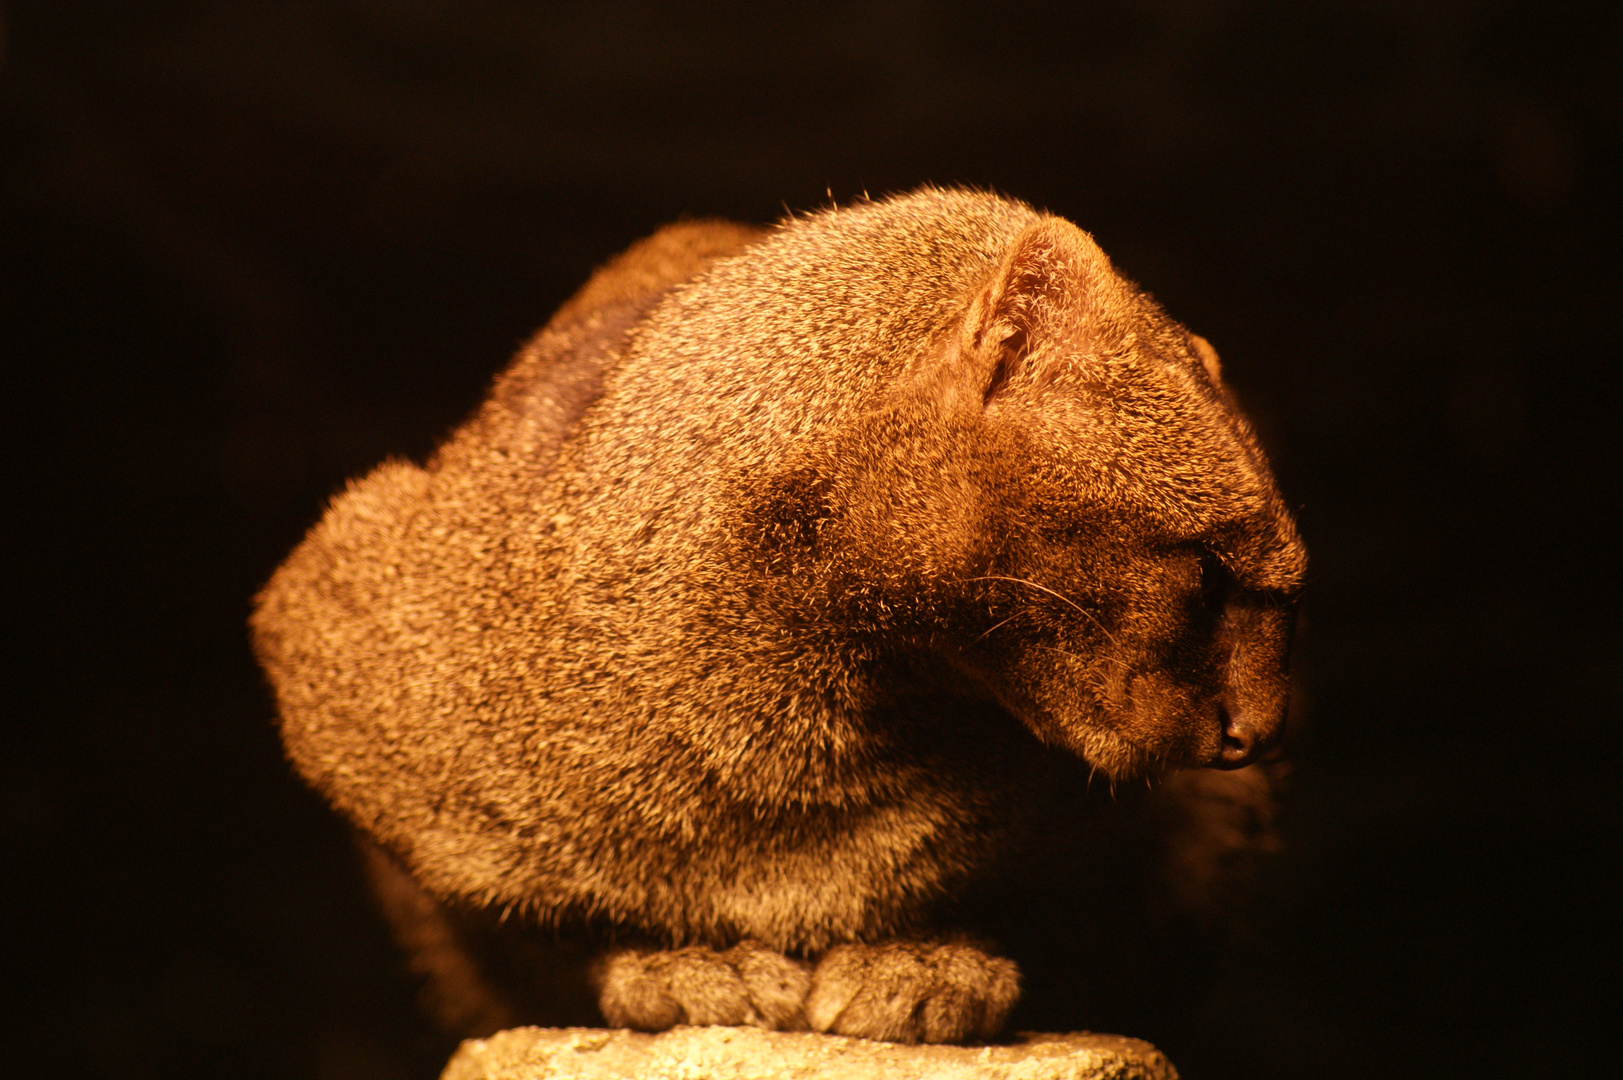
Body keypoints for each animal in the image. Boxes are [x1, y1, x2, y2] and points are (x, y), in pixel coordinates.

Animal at [259, 187, 1311, 1045]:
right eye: (1209, 571)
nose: (1262, 734)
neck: (802, 755)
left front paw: (923, 962)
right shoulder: (339, 661)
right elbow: (543, 924)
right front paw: (686, 964)